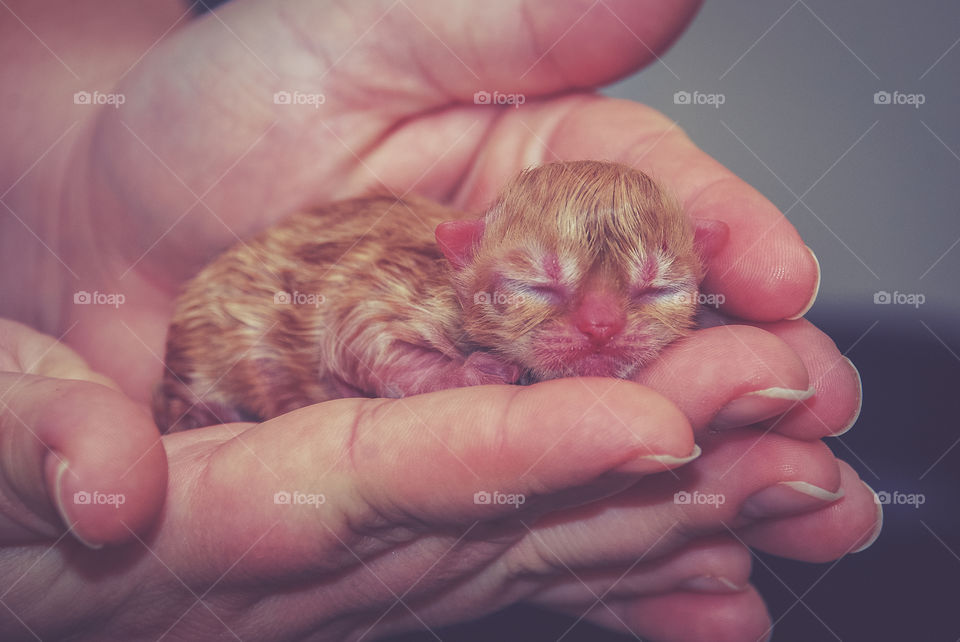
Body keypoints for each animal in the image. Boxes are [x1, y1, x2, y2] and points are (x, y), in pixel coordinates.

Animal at [154, 160, 724, 430]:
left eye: (657, 289)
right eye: (537, 286)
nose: (601, 326)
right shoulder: (380, 291)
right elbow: (360, 338)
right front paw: (469, 372)